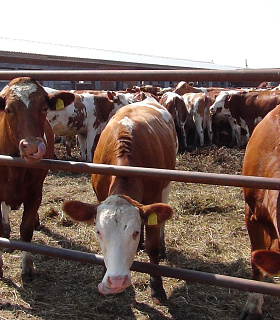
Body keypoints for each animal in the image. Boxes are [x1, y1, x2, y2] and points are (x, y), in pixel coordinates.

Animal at [0, 76, 75, 282]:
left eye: (43, 108)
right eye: (8, 109)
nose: (32, 147)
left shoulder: (35, 193)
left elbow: (26, 230)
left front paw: (27, 266)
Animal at [63, 96, 177, 304]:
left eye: (135, 232)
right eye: (98, 232)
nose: (116, 282)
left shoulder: (155, 197)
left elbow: (153, 248)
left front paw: (157, 288)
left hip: (168, 185)